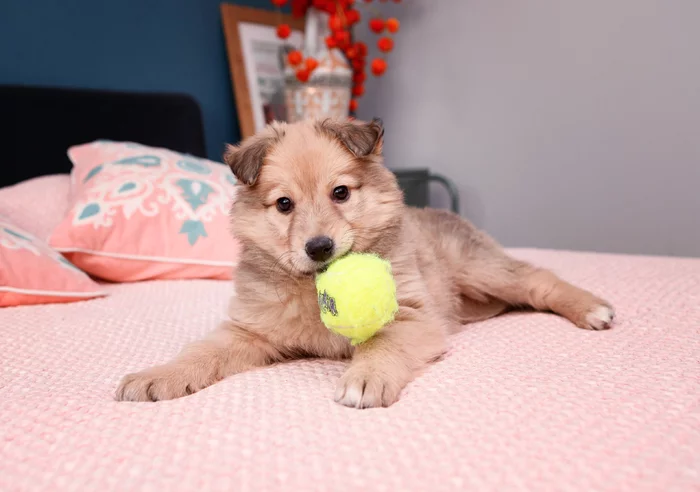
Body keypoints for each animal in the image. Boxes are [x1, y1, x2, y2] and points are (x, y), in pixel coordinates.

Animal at [115, 118, 612, 408]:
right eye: (283, 204)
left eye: (341, 192)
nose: (319, 247)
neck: (311, 287)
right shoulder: (248, 331)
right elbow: (200, 353)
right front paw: (157, 376)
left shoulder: (412, 316)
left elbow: (381, 344)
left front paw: (367, 377)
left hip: (481, 270)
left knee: (538, 280)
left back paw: (592, 309)